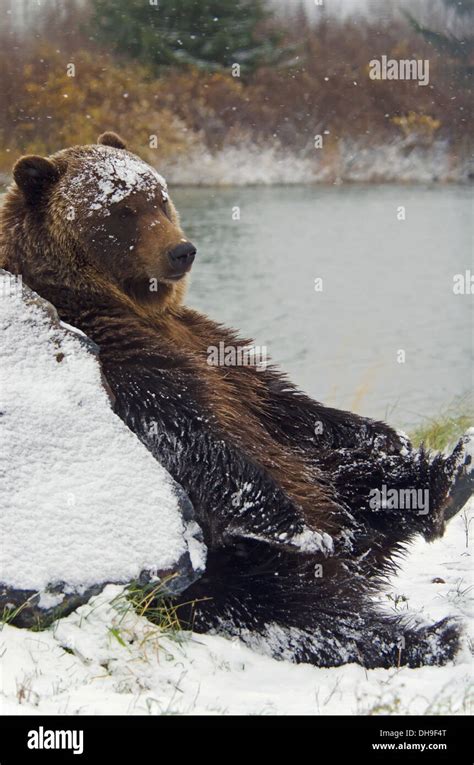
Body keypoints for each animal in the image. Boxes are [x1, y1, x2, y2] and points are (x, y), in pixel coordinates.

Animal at [1, 133, 472, 668]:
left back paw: (446, 480)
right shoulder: (117, 353)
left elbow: (287, 406)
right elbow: (194, 432)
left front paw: (389, 435)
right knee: (301, 616)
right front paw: (301, 527)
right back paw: (426, 635)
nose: (181, 250)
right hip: (230, 570)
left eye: (159, 198)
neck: (123, 303)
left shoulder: (212, 345)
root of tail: (355, 565)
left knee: (345, 474)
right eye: (121, 210)